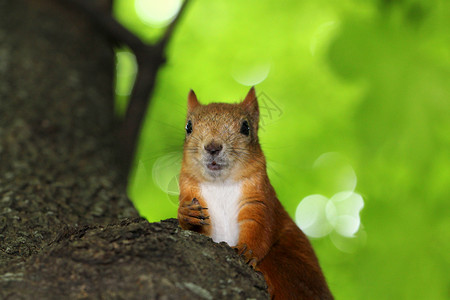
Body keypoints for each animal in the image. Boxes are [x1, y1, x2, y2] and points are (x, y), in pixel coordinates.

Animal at [178, 87, 332, 300]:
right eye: (188, 127)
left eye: (246, 127)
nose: (212, 147)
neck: (220, 184)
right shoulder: (188, 190)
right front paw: (186, 214)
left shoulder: (260, 200)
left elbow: (259, 227)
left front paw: (246, 250)